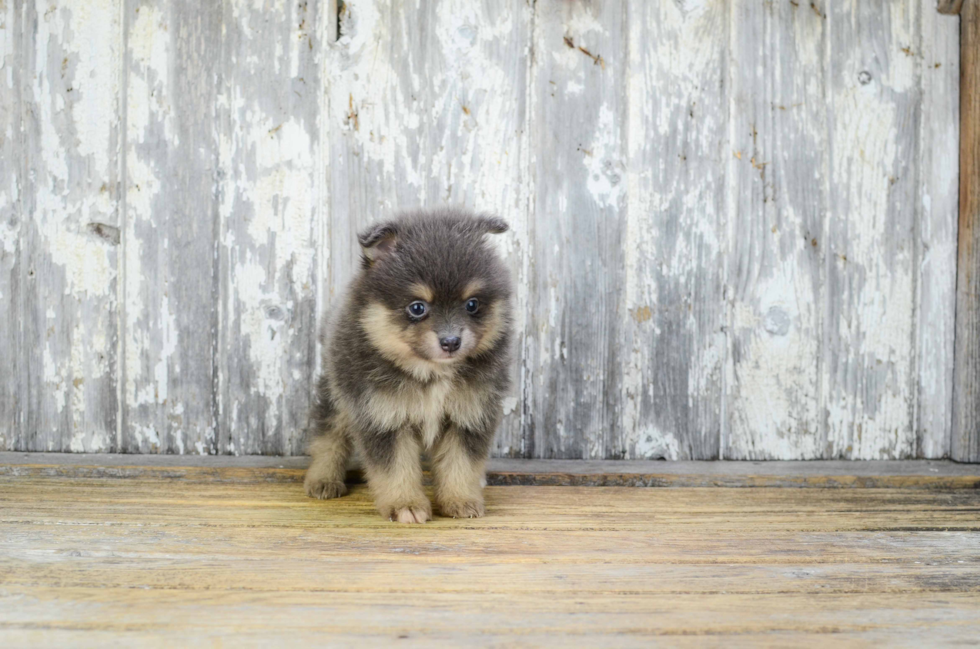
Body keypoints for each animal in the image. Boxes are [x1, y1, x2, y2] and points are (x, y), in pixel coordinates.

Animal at [304, 208, 512, 520]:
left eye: (472, 304)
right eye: (417, 308)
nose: (451, 341)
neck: (430, 372)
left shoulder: (469, 414)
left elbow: (461, 464)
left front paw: (461, 499)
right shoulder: (382, 416)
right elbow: (395, 468)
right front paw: (406, 505)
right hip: (336, 395)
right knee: (329, 438)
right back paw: (323, 480)